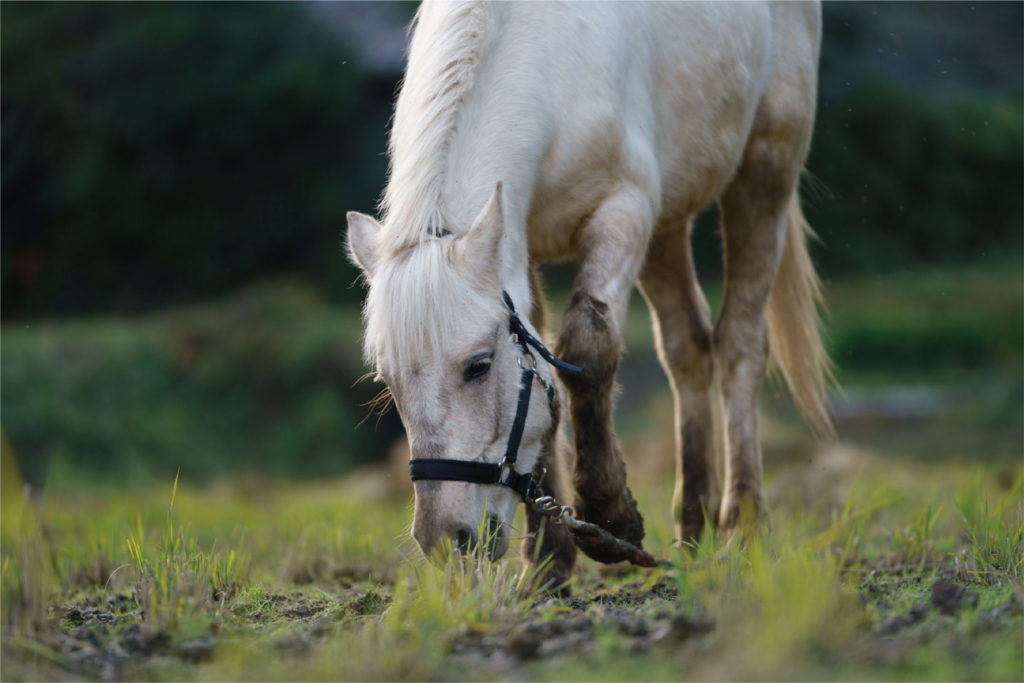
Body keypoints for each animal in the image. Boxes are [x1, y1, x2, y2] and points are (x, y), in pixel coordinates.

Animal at [348, 0, 827, 589]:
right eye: (387, 381)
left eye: (478, 365)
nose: (446, 538)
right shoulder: (522, 246)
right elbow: (548, 381)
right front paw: (549, 557)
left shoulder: (622, 211)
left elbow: (586, 349)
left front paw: (611, 517)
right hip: (669, 221)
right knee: (687, 348)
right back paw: (693, 528)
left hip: (765, 168)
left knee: (740, 344)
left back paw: (744, 526)